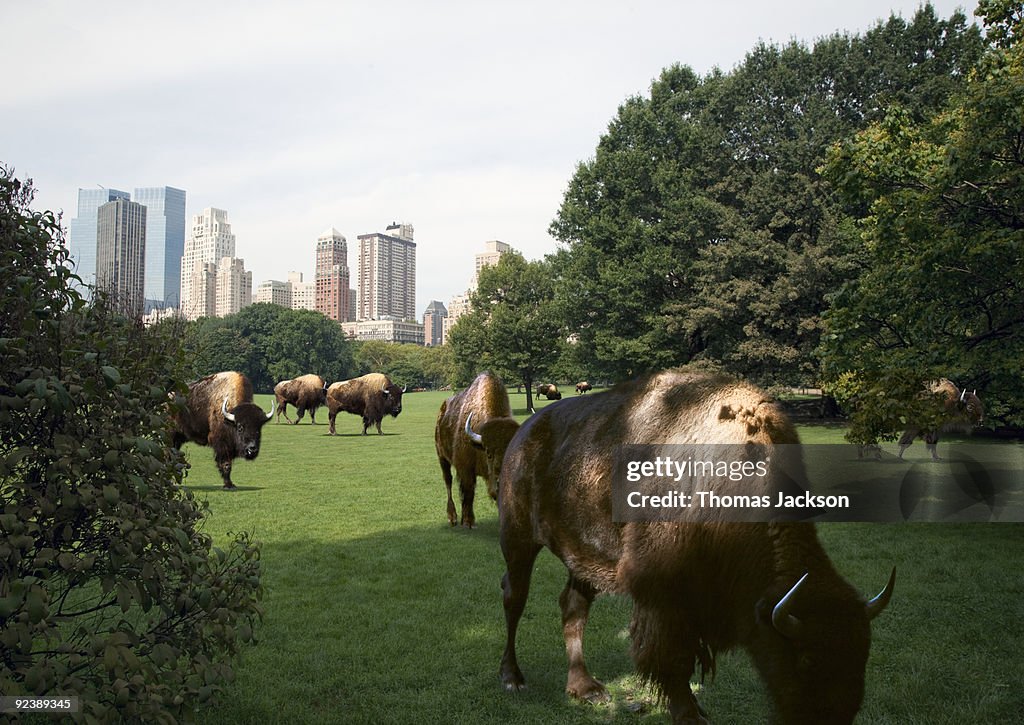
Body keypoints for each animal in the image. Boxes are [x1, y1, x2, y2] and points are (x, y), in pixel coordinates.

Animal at [436, 374, 524, 528]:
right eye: (488, 453)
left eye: (513, 452)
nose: (501, 480)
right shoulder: (466, 469)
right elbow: (468, 493)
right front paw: (468, 522)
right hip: (442, 458)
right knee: (448, 482)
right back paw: (452, 518)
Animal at [499, 370, 892, 720]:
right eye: (806, 658)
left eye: (863, 655)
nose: (835, 716)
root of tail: (523, 434)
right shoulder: (664, 597)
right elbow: (672, 658)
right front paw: (689, 714)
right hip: (518, 540)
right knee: (513, 597)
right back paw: (512, 678)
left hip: (583, 558)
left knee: (573, 608)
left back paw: (585, 688)